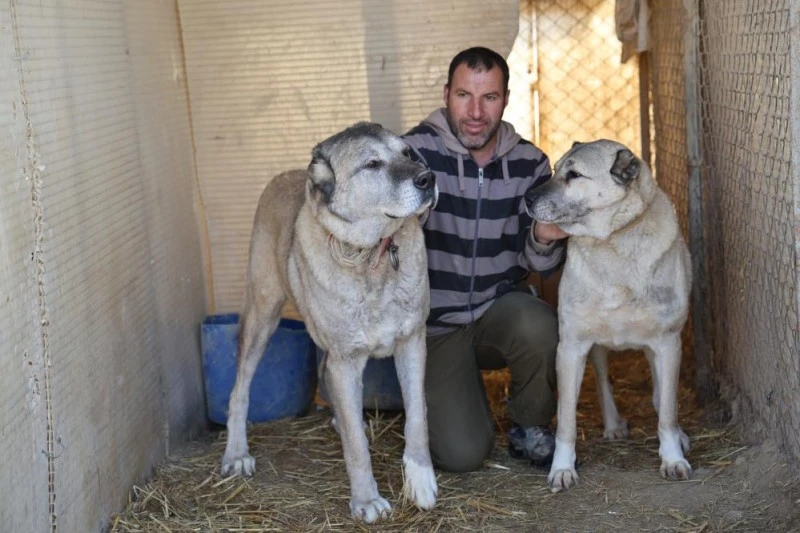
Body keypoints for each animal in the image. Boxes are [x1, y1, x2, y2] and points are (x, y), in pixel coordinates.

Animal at [222, 121, 440, 520]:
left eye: (407, 153)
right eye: (372, 164)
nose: (428, 178)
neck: (371, 257)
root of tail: (284, 174)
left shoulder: (412, 342)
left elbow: (417, 416)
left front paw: (420, 480)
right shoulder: (346, 360)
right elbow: (356, 446)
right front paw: (366, 499)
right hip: (263, 314)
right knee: (239, 390)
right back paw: (236, 453)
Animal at [528, 140, 692, 490]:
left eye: (574, 175)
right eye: (555, 170)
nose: (527, 198)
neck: (612, 242)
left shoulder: (668, 342)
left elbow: (668, 411)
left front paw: (672, 457)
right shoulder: (571, 348)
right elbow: (566, 421)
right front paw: (562, 468)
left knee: (661, 395)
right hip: (596, 349)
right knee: (604, 382)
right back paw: (614, 424)